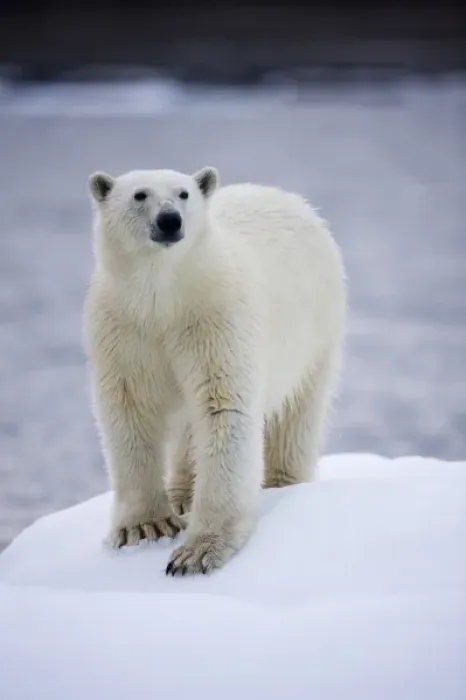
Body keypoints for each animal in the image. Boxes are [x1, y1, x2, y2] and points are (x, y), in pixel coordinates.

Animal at [83, 166, 347, 576]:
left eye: (184, 193)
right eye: (140, 195)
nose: (170, 220)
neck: (163, 299)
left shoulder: (213, 318)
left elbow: (222, 408)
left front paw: (198, 551)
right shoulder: (123, 329)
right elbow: (129, 410)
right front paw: (144, 527)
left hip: (315, 332)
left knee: (295, 416)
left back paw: (280, 483)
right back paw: (180, 495)